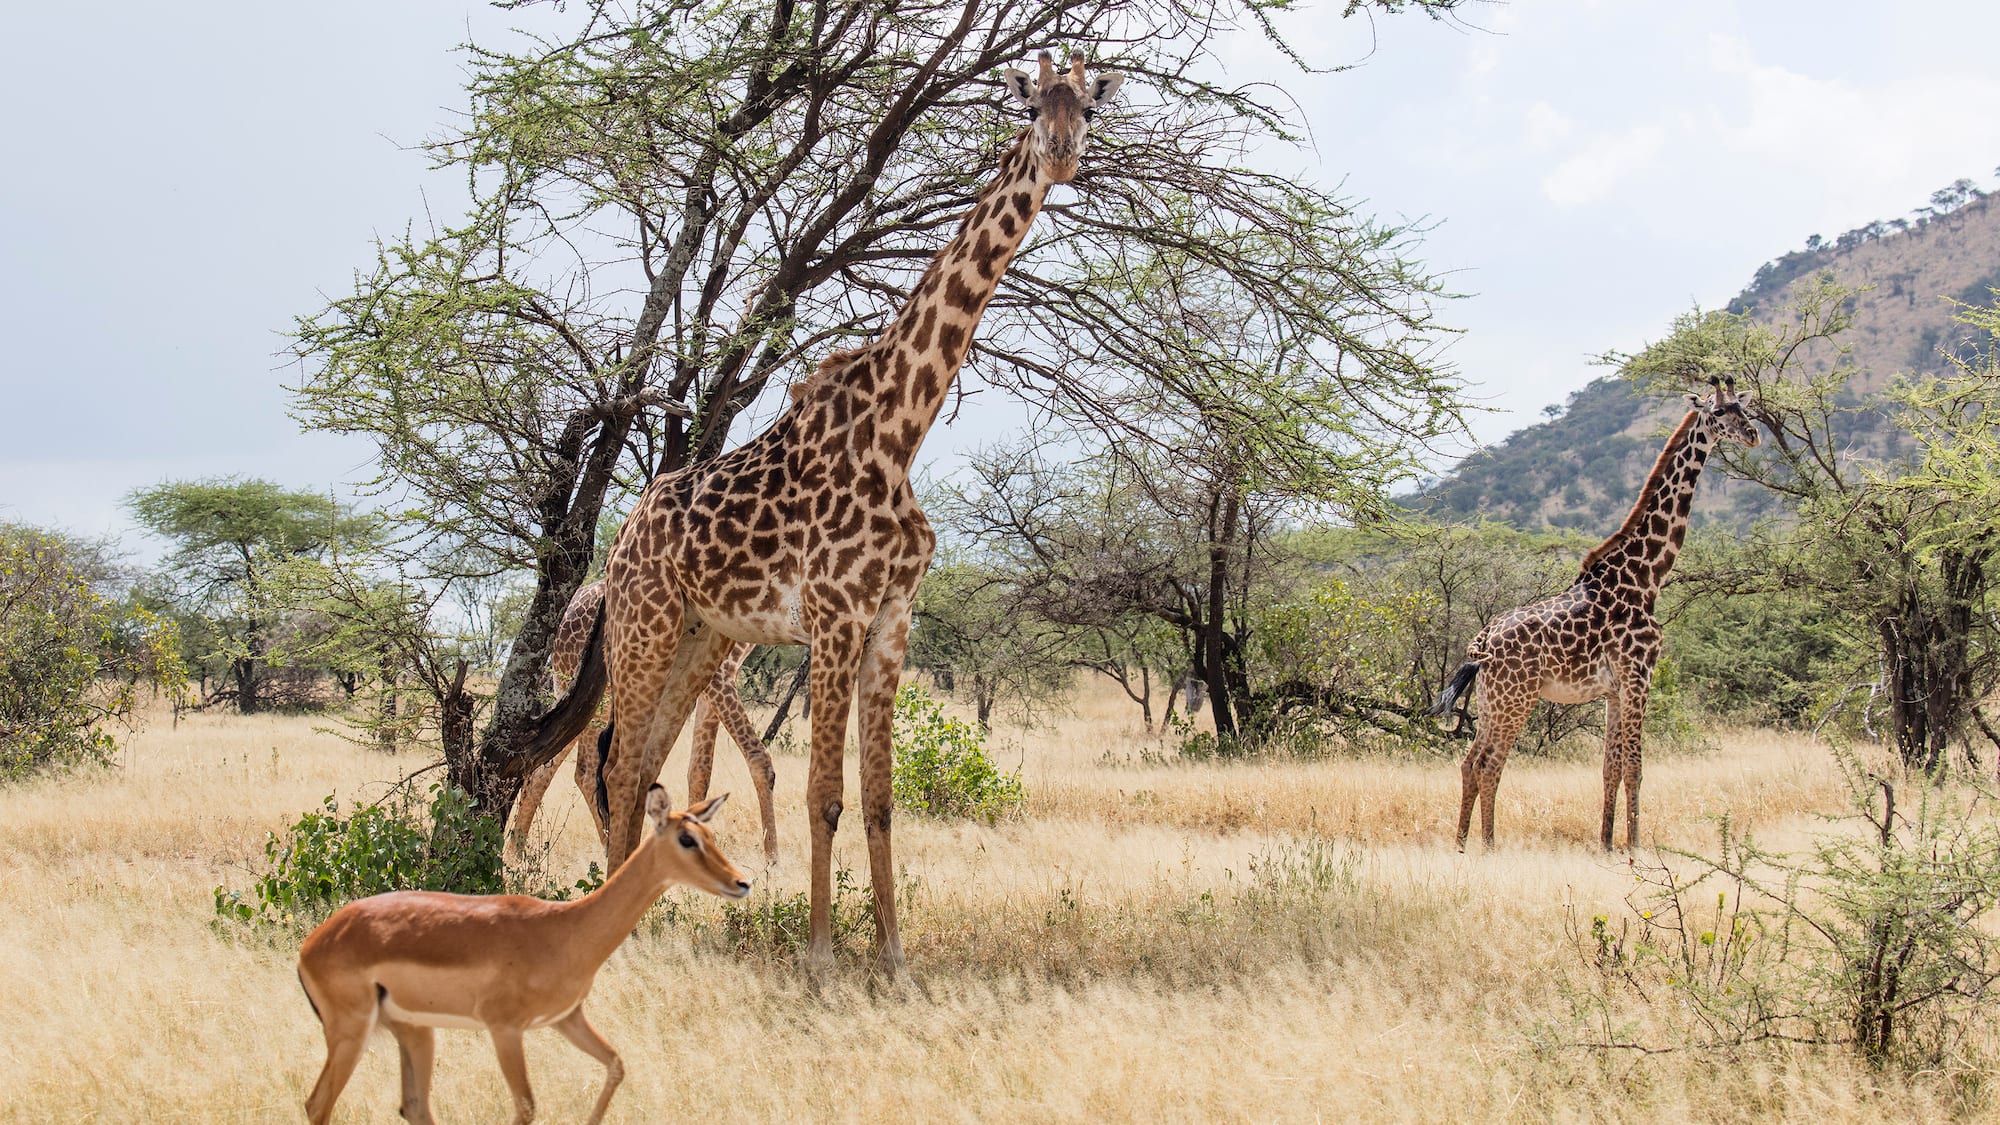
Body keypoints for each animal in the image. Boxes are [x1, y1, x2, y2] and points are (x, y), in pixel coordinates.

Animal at [510, 580, 780, 864]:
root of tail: (564, 618)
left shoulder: (715, 673)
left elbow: (700, 770)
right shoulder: (718, 672)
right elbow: (759, 758)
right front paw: (772, 859)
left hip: (582, 695)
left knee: (546, 768)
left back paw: (515, 852)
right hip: (594, 695)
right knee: (580, 770)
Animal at [1430, 379, 1761, 852]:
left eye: (1743, 408)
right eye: (1718, 414)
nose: (1752, 435)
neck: (1646, 576)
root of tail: (1482, 642)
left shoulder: (1613, 691)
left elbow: (1611, 768)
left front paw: (1606, 843)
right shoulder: (1639, 676)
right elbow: (1635, 768)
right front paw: (1634, 847)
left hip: (1493, 699)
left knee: (1469, 762)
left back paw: (1461, 844)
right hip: (1518, 698)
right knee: (1490, 764)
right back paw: (1490, 845)